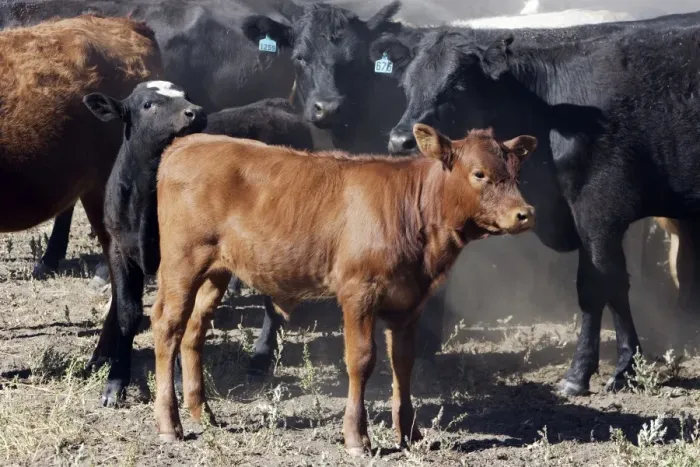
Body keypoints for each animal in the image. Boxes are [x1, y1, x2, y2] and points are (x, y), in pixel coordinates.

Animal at [83, 83, 317, 406]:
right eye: (148, 103)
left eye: (187, 95)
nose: (195, 113)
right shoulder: (120, 252)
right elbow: (127, 315)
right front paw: (115, 384)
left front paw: (180, 381)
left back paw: (260, 358)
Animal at [151, 123, 537, 455]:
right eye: (479, 173)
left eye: (517, 172)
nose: (525, 213)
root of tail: (189, 142)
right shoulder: (358, 292)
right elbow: (361, 359)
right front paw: (356, 437)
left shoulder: (409, 302)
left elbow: (403, 363)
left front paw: (411, 433)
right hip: (181, 261)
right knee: (168, 326)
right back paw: (169, 423)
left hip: (215, 271)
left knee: (194, 331)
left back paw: (203, 413)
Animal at [370, 22, 700, 396]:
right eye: (406, 84)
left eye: (457, 87)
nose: (401, 140)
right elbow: (614, 287)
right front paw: (626, 367)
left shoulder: (598, 209)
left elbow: (597, 285)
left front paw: (584, 374)